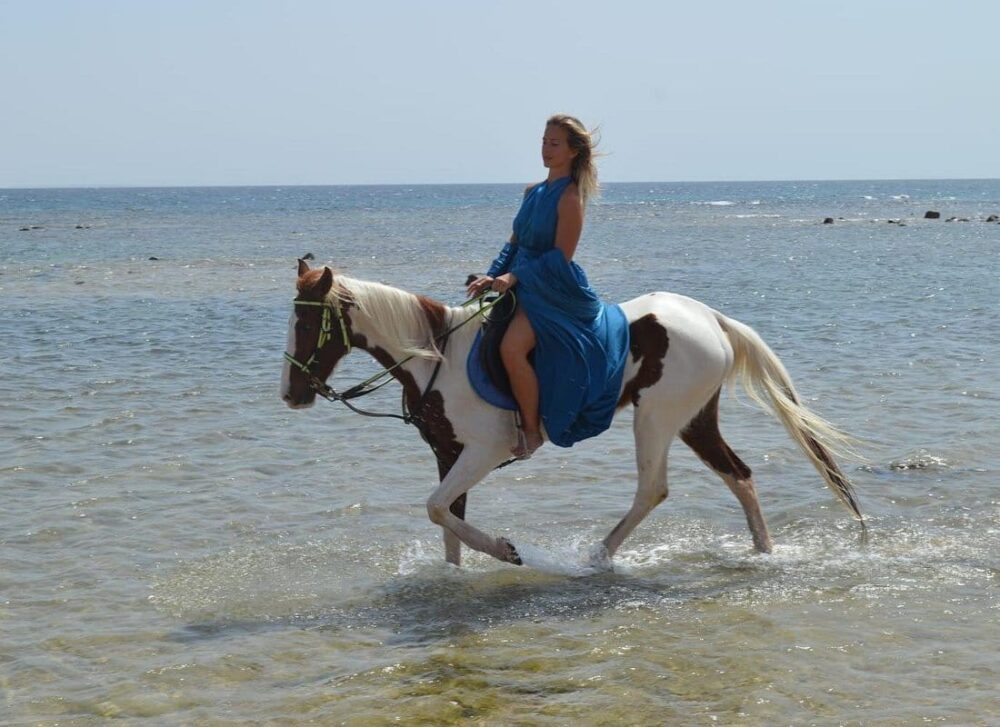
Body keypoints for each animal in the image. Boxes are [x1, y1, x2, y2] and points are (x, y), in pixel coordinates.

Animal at [282, 259, 864, 568]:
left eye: (308, 324)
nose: (291, 394)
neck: (437, 357)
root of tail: (711, 318)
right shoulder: (448, 454)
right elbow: (447, 521)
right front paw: (458, 573)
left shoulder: (483, 451)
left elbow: (436, 509)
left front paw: (506, 551)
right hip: (695, 419)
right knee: (739, 476)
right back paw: (763, 552)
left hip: (656, 418)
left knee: (653, 489)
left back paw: (596, 558)